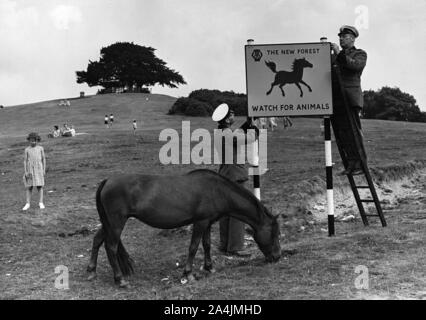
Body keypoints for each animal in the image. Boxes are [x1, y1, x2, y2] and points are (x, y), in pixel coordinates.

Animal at [87, 169, 282, 286]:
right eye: (275, 234)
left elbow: (206, 245)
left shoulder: (208, 222)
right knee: (111, 247)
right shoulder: (200, 222)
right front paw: (188, 273)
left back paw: (91, 271)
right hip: (116, 222)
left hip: (109, 223)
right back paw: (119, 279)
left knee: (97, 240)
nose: (277, 257)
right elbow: (193, 247)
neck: (217, 190)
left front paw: (209, 267)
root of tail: (107, 181)